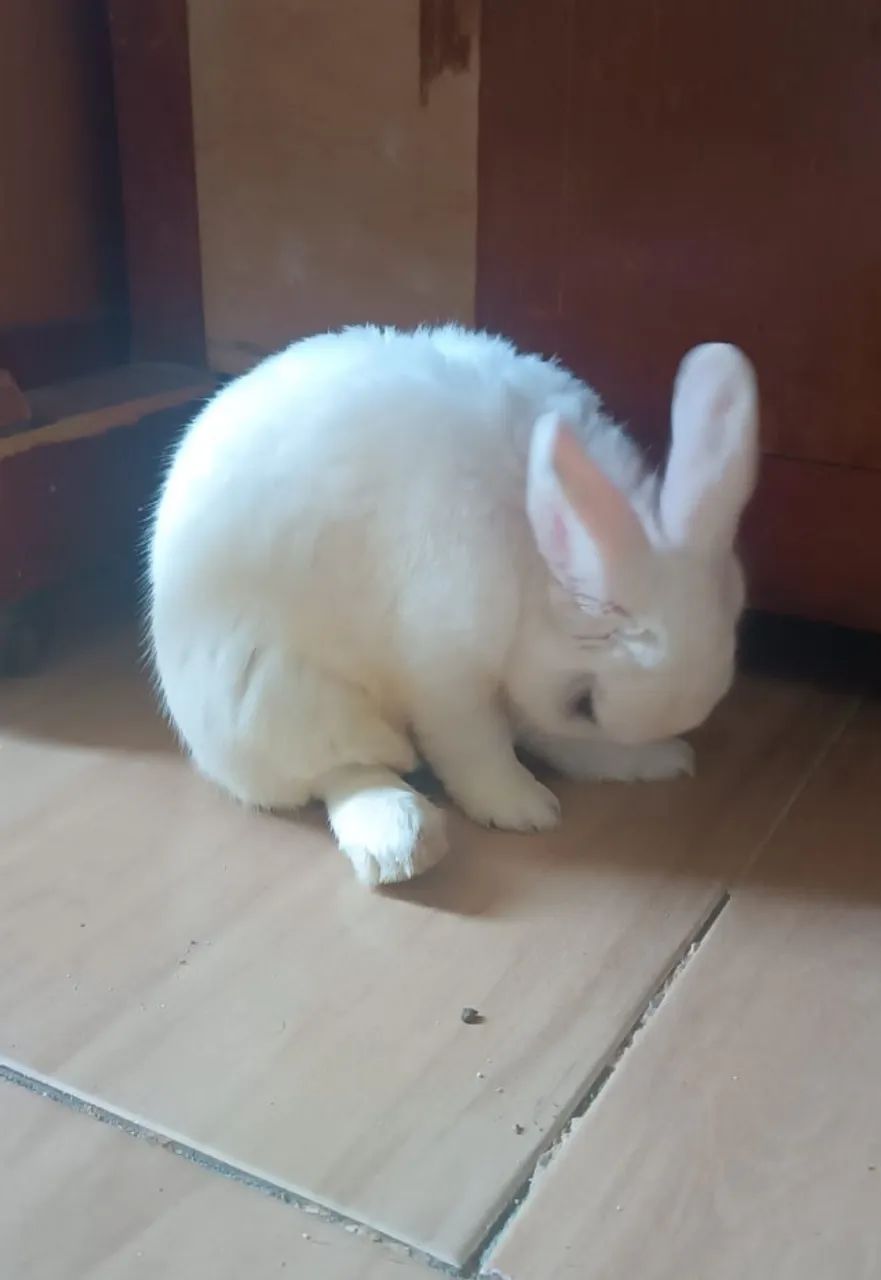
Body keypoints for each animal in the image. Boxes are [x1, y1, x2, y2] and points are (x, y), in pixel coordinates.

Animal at [149, 325, 758, 887]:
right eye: (583, 703)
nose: (653, 746)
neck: (532, 558)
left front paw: (648, 758)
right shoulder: (446, 674)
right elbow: (475, 747)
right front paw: (522, 808)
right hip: (285, 695)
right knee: (345, 766)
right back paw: (403, 841)